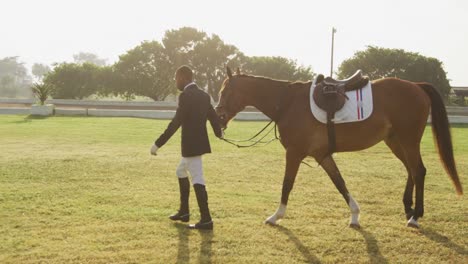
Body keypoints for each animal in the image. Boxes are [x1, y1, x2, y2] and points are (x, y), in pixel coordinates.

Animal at [216, 67, 460, 228]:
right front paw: (355, 215)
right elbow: (340, 182)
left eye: (224, 92)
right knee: (411, 170)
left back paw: (415, 216)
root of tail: (417, 86)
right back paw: (408, 209)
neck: (287, 102)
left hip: (408, 140)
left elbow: (287, 184)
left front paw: (276, 216)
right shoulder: (322, 155)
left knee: (418, 171)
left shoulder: (294, 153)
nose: (218, 117)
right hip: (395, 141)